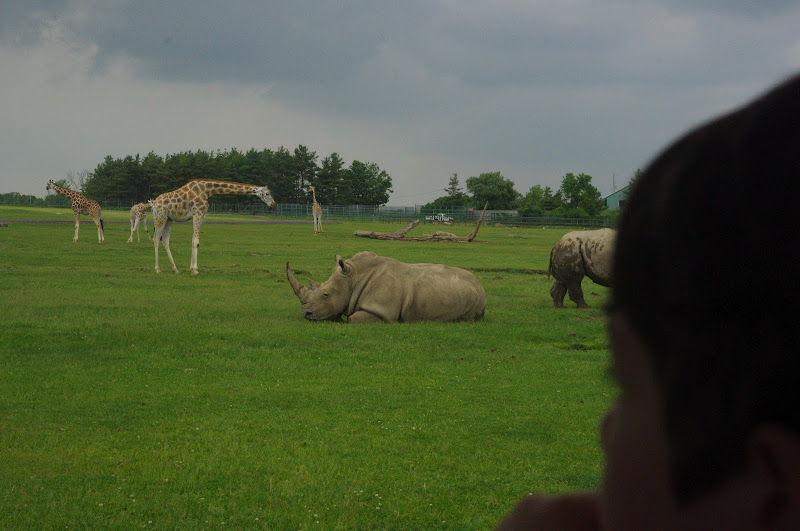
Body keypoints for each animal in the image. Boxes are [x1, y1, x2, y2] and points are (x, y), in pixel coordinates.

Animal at [286, 251, 486, 323]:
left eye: (326, 294)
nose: (307, 314)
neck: (354, 278)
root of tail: (479, 284)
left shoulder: (381, 310)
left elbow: (352, 318)